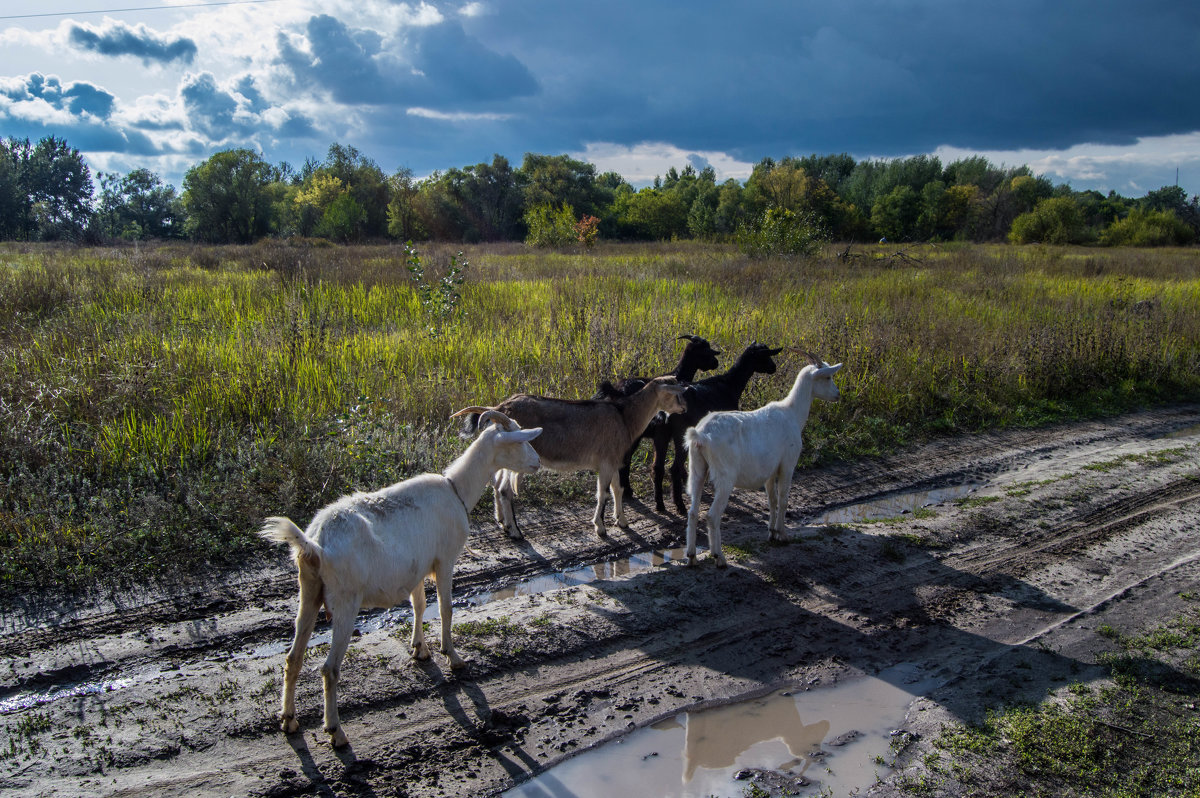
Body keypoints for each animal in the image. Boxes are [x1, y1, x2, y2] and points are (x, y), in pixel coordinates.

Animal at [264, 410, 549, 748]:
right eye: (518, 440)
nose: (538, 462)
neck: (455, 490)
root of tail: (315, 544)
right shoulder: (444, 559)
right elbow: (445, 608)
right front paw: (452, 656)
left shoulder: (417, 567)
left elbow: (419, 606)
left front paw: (420, 649)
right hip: (346, 600)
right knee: (329, 669)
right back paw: (336, 732)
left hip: (308, 591)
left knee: (292, 659)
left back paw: (289, 721)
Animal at [604, 338, 782, 513]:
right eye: (765, 355)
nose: (773, 367)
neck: (728, 384)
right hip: (673, 434)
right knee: (668, 467)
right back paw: (678, 505)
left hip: (661, 435)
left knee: (656, 467)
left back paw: (658, 503)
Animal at [686, 350, 844, 566]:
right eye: (827, 377)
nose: (838, 394)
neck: (792, 413)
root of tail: (700, 435)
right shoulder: (788, 464)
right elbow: (784, 498)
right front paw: (783, 534)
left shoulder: (770, 470)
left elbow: (772, 500)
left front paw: (771, 532)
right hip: (725, 476)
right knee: (712, 516)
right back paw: (719, 557)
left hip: (697, 469)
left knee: (693, 512)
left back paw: (692, 556)